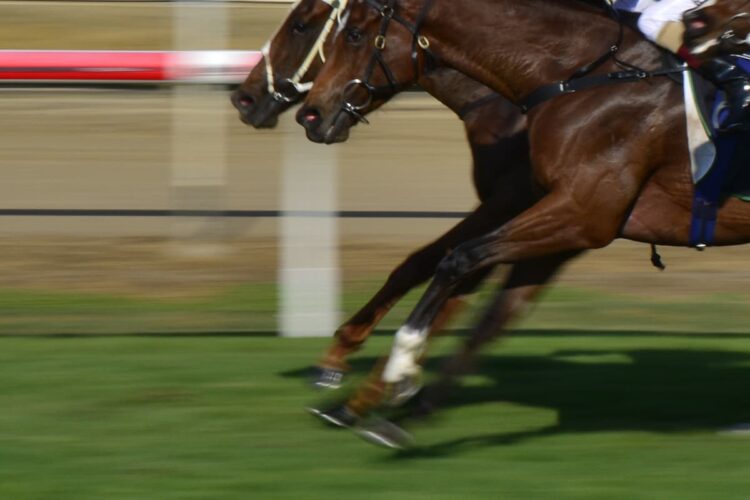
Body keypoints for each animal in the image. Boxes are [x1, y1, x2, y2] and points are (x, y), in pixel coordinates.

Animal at [231, 0, 580, 392]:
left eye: (301, 25)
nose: (244, 98)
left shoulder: (515, 200)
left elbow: (422, 263)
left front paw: (342, 356)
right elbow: (454, 286)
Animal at [298, 0, 750, 445]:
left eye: (354, 34)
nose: (310, 115)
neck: (576, 79)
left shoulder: (581, 214)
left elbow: (457, 261)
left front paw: (401, 368)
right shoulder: (561, 223)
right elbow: (488, 311)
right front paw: (392, 410)